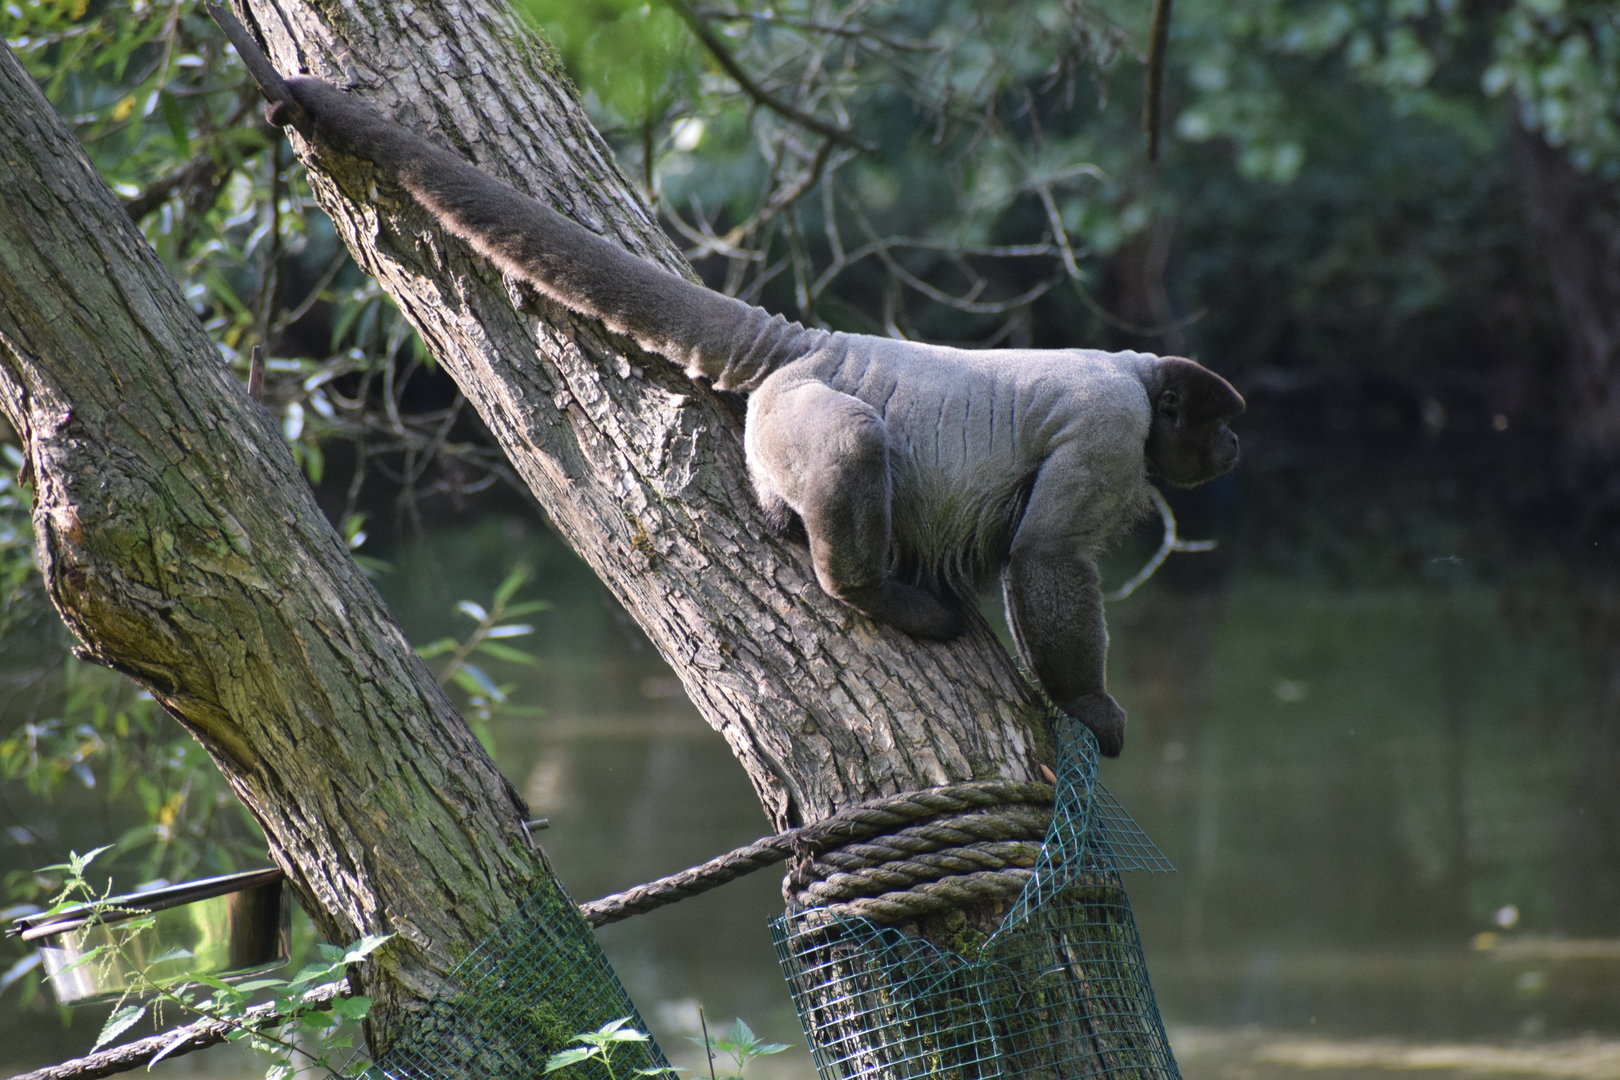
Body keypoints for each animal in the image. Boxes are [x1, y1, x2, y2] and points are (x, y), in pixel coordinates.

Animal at [265, 75, 1243, 757]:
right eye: (1216, 424)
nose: (1234, 444)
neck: (1139, 376)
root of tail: (809, 343)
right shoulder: (1110, 428)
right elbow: (1045, 554)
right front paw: (1088, 706)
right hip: (793, 415)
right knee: (854, 443)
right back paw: (876, 594)